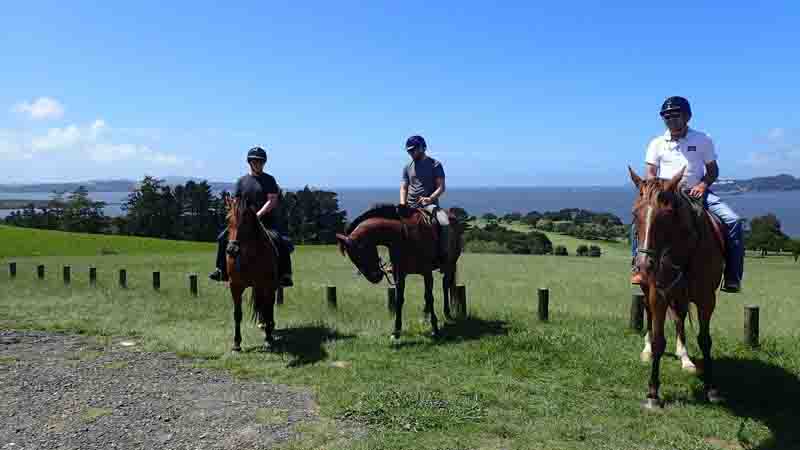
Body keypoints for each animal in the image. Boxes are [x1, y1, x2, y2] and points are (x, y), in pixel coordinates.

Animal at [223, 197, 280, 352]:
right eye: (227, 219)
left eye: (246, 220)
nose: (232, 249)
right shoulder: (235, 286)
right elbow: (237, 314)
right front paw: (236, 343)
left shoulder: (267, 286)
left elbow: (267, 309)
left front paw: (268, 339)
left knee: (268, 308)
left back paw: (269, 329)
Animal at [336, 203, 462, 338]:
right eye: (353, 258)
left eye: (362, 253)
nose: (375, 277)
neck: (405, 236)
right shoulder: (399, 274)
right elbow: (399, 300)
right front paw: (396, 330)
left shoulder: (427, 273)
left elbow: (429, 297)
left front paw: (435, 328)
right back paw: (425, 316)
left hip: (450, 265)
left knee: (445, 285)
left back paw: (447, 313)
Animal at [632, 167, 724, 410]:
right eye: (635, 214)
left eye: (667, 215)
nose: (643, 266)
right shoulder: (658, 294)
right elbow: (658, 340)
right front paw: (653, 394)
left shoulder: (706, 299)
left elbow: (705, 339)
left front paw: (711, 388)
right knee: (650, 315)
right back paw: (647, 350)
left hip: (682, 296)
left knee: (680, 319)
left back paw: (685, 358)